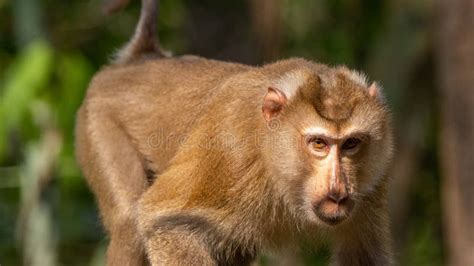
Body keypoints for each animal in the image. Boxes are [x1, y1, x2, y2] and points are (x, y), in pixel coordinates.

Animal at [76, 0, 394, 266]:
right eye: (318, 143)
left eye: (351, 144)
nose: (339, 187)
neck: (271, 154)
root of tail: (142, 60)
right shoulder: (229, 152)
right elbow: (162, 216)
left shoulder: (375, 179)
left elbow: (362, 256)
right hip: (99, 121)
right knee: (128, 223)